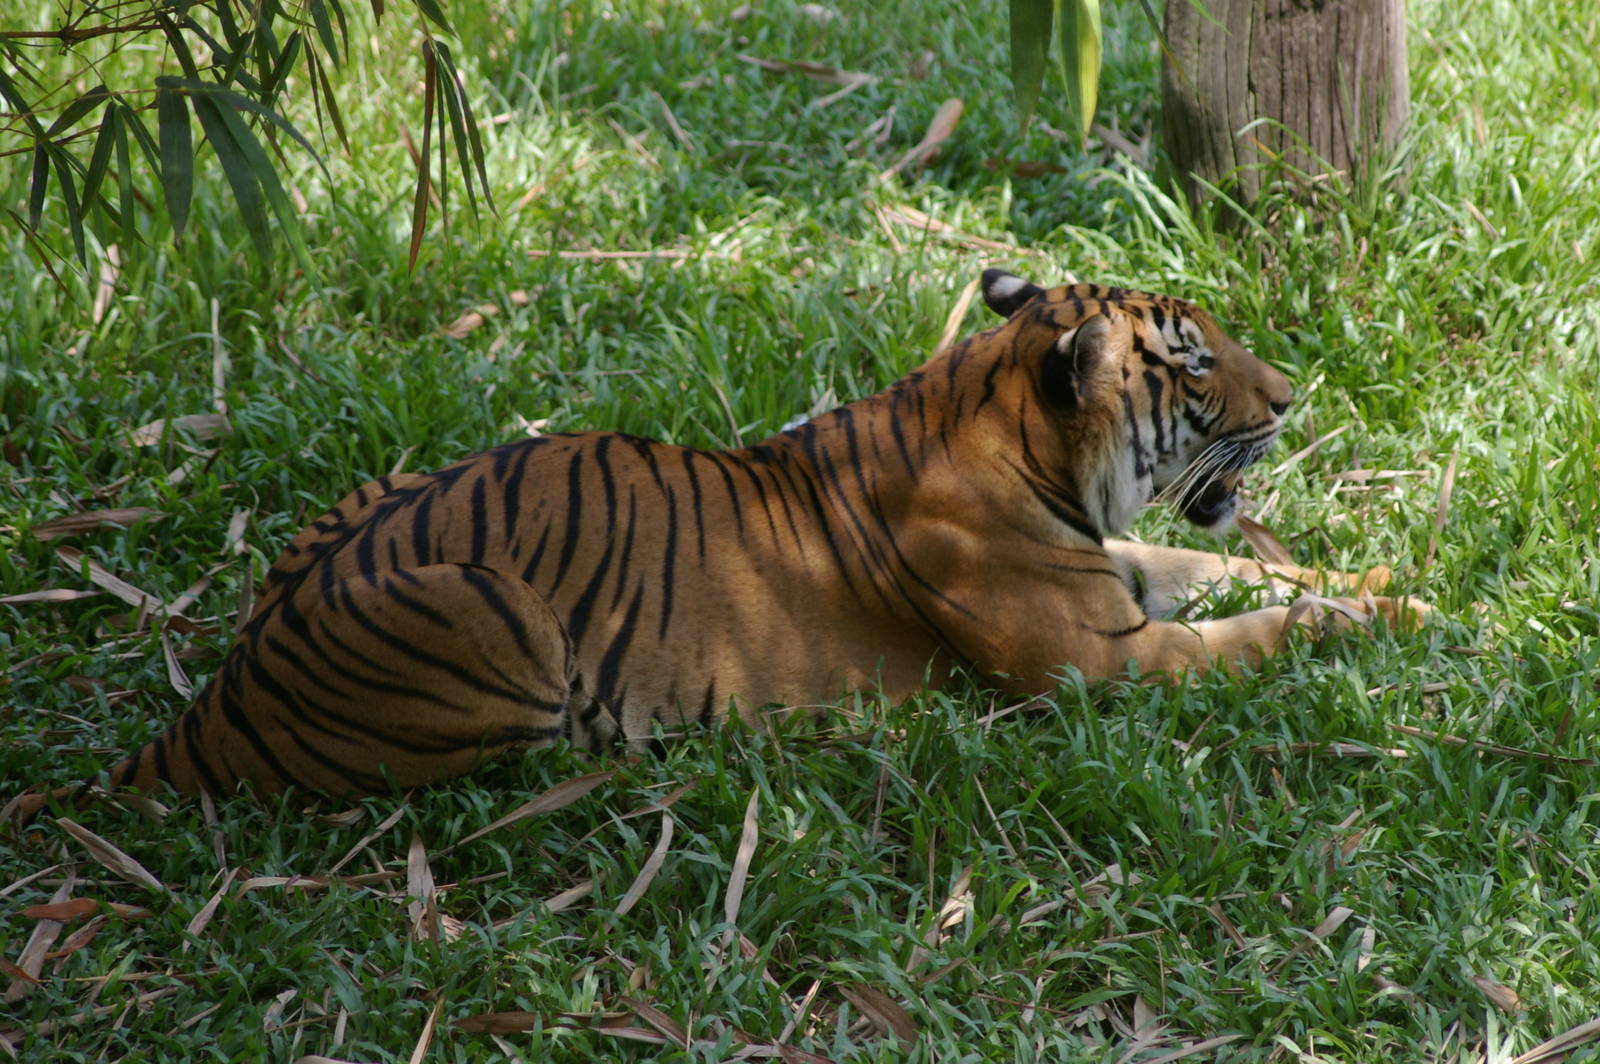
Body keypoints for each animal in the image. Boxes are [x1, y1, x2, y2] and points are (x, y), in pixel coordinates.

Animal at [14, 269, 1430, 817]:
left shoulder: (1121, 576)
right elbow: (1260, 621)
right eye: (1193, 362)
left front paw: (1380, 572)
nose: (1292, 394)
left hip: (374, 490)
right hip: (490, 611)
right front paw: (1398, 614)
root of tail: (218, 695)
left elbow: (1237, 569)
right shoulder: (1099, 661)